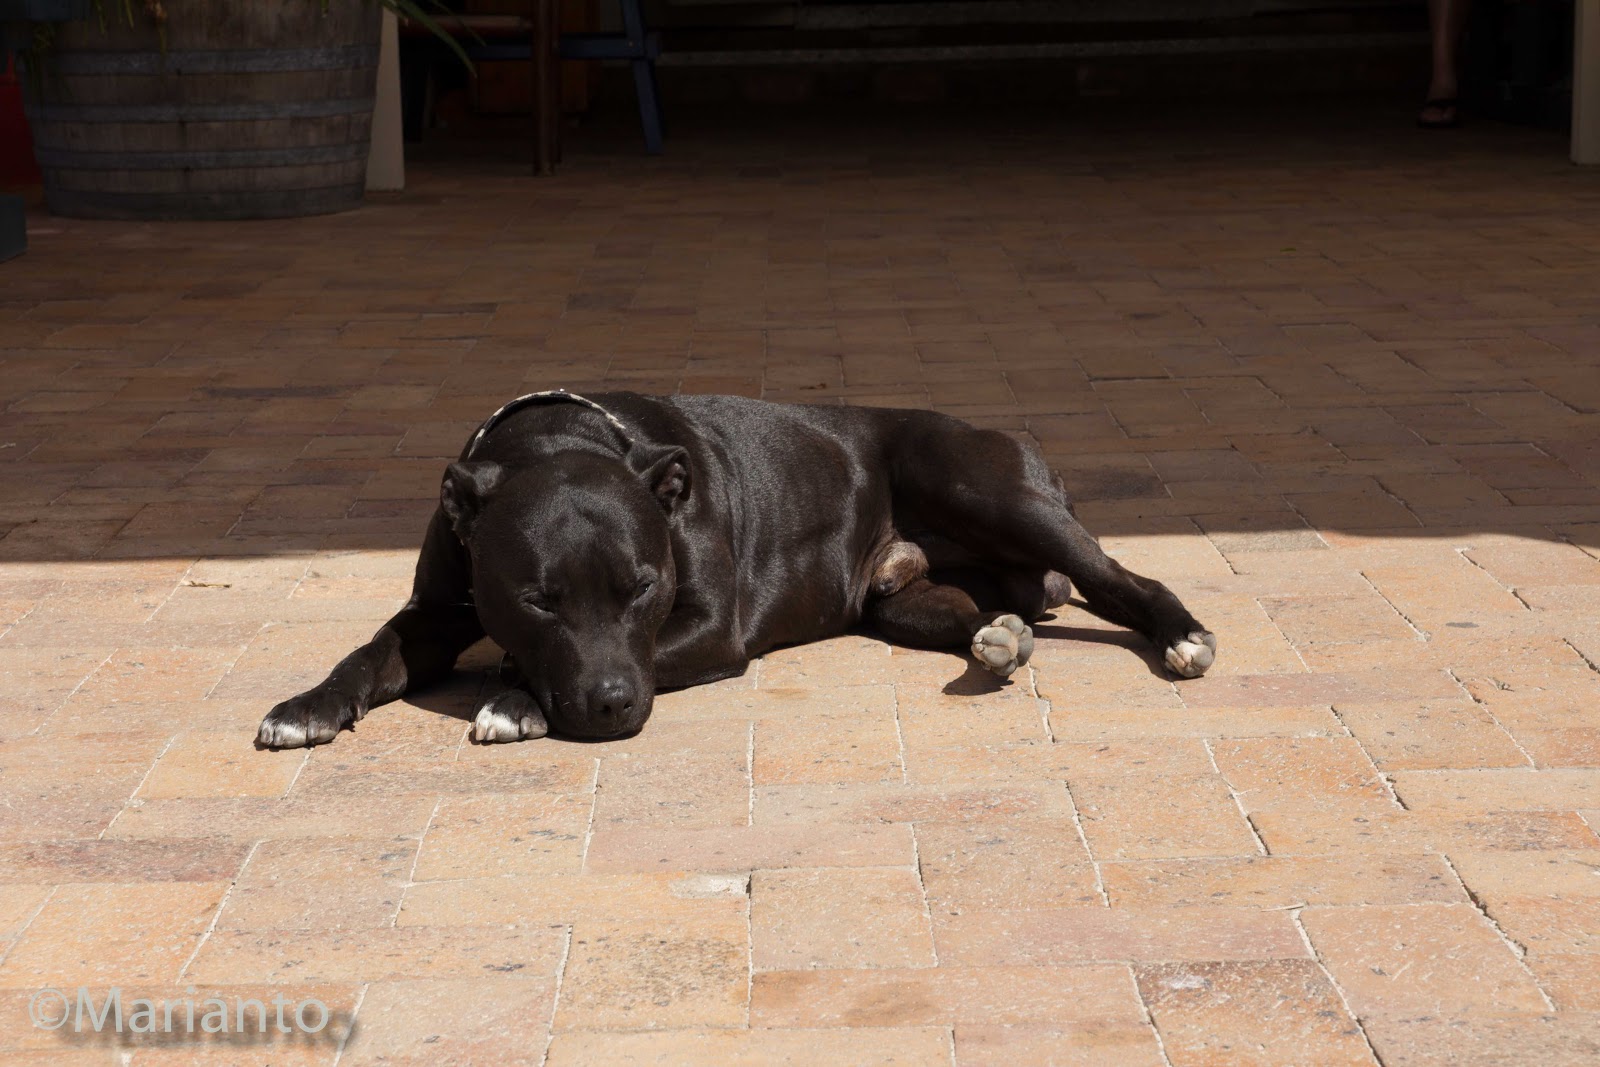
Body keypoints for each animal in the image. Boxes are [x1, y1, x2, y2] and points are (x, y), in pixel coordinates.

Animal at [257, 391, 1215, 747]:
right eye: (537, 597)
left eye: (642, 586)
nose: (613, 706)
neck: (556, 442)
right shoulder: (435, 606)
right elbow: (372, 651)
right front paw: (308, 705)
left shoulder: (711, 629)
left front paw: (511, 696)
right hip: (897, 600)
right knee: (979, 615)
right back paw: (999, 640)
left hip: (989, 488)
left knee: (1120, 580)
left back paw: (1183, 634)